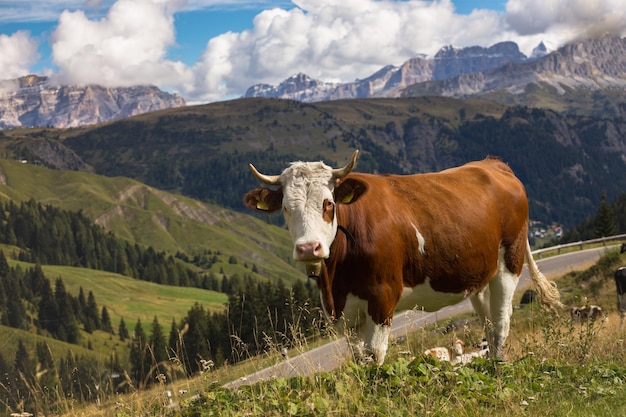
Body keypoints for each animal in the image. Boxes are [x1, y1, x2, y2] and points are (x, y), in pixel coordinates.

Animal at [243, 150, 560, 364]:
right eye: (286, 208)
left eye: (328, 203)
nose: (309, 248)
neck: (336, 282)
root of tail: (492, 163)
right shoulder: (343, 313)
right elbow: (358, 357)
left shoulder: (382, 296)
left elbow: (374, 354)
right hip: (481, 275)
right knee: (489, 322)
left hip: (510, 260)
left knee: (501, 319)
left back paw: (497, 367)